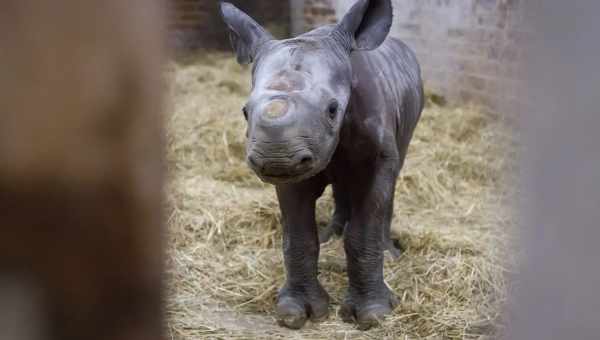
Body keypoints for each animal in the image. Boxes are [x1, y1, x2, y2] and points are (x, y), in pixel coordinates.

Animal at [223, 0, 424, 330]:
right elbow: (299, 236)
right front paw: (296, 312)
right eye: (244, 111)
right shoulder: (294, 170)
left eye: (332, 110)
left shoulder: (377, 155)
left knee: (394, 172)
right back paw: (334, 235)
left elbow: (364, 229)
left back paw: (389, 251)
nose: (275, 157)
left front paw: (374, 314)